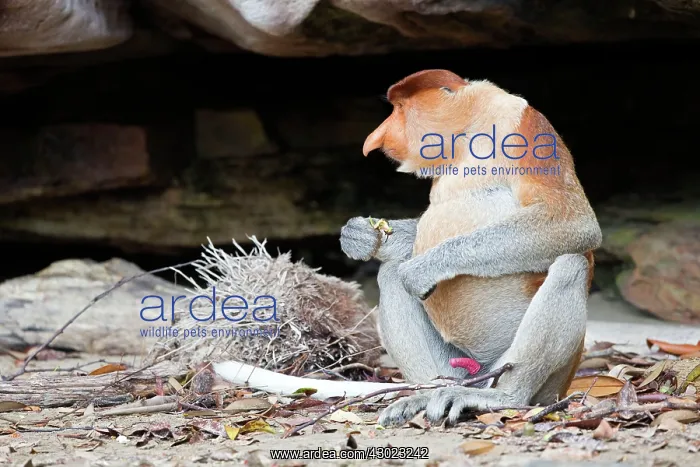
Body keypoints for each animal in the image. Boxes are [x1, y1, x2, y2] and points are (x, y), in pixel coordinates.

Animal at [213, 69, 601, 429]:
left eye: (400, 108)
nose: (375, 139)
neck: (468, 133)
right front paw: (361, 237)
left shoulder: (526, 129)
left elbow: (574, 223)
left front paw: (422, 269)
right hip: (456, 365)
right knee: (390, 275)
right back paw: (425, 395)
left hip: (540, 377)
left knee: (570, 265)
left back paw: (501, 396)